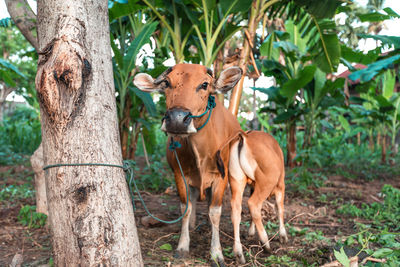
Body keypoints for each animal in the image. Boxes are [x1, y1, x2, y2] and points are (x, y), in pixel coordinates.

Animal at [134, 64, 288, 266]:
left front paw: (216, 253)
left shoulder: (221, 177)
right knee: (250, 204)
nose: (177, 119)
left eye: (204, 84)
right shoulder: (179, 175)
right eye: (167, 83)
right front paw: (183, 246)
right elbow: (185, 208)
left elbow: (215, 212)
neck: (199, 152)